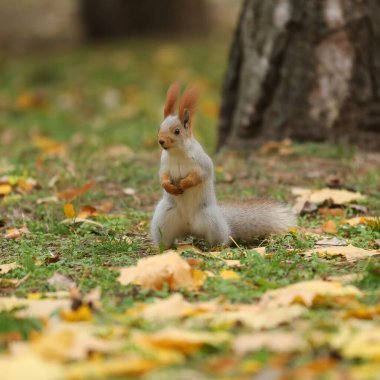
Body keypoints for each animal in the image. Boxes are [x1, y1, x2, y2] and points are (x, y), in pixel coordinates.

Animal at [150, 83, 296, 249]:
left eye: (177, 131)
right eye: (159, 128)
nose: (161, 141)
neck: (177, 153)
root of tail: (189, 228)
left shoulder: (202, 163)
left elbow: (200, 176)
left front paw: (185, 183)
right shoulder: (164, 165)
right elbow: (163, 177)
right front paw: (169, 186)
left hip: (211, 220)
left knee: (222, 239)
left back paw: (218, 247)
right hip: (164, 218)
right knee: (165, 238)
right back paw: (162, 248)